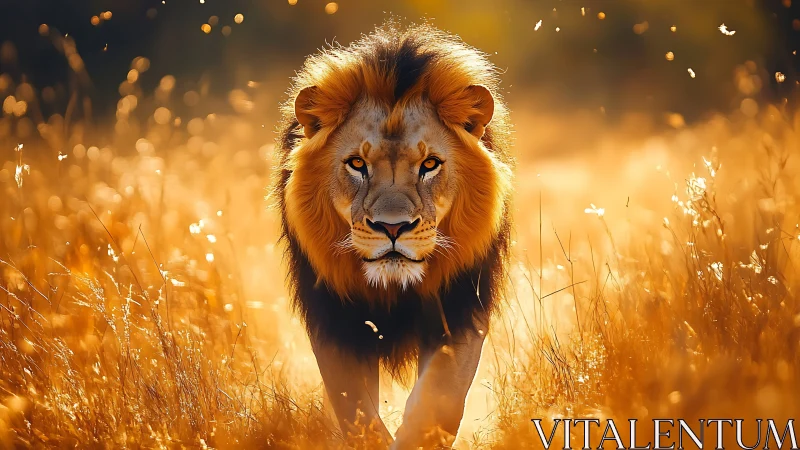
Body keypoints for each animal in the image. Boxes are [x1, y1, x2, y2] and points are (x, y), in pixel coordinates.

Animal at [272, 23, 513, 449]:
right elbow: (355, 409)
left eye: (430, 164)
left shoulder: (461, 308)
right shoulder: (336, 321)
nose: (393, 227)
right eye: (357, 164)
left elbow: (440, 397)